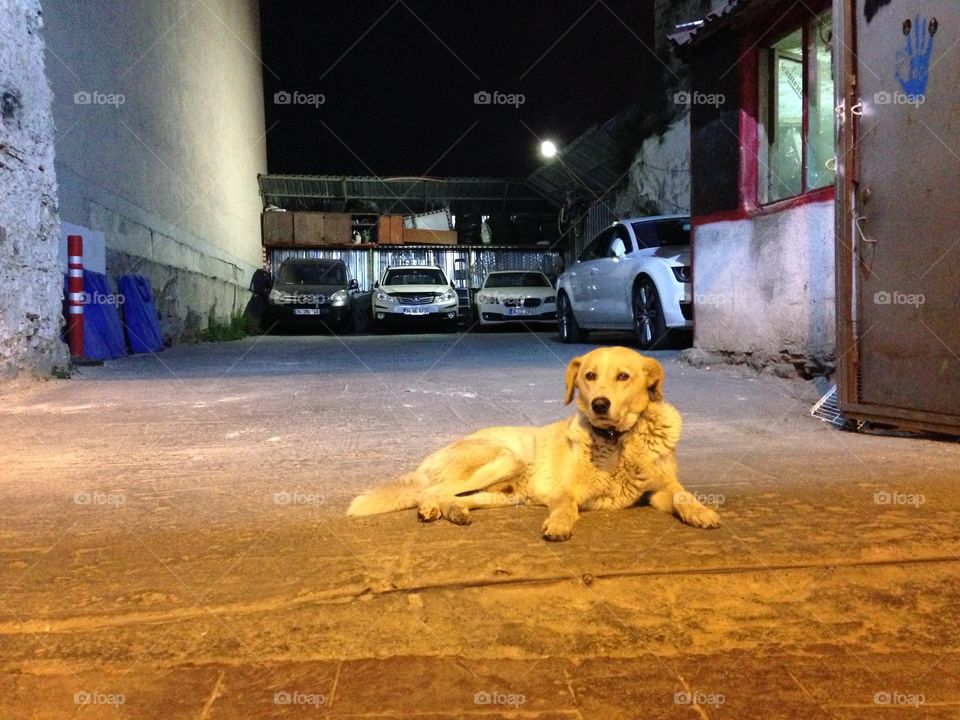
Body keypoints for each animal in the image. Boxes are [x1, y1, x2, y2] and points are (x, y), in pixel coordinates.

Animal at [346, 344, 720, 540]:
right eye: (589, 376)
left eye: (623, 377)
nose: (599, 404)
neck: (616, 441)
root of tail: (426, 462)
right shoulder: (565, 491)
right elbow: (567, 505)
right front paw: (559, 523)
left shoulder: (661, 488)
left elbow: (684, 495)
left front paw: (702, 512)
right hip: (504, 458)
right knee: (430, 492)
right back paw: (432, 508)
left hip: (507, 493)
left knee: (454, 497)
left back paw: (456, 512)